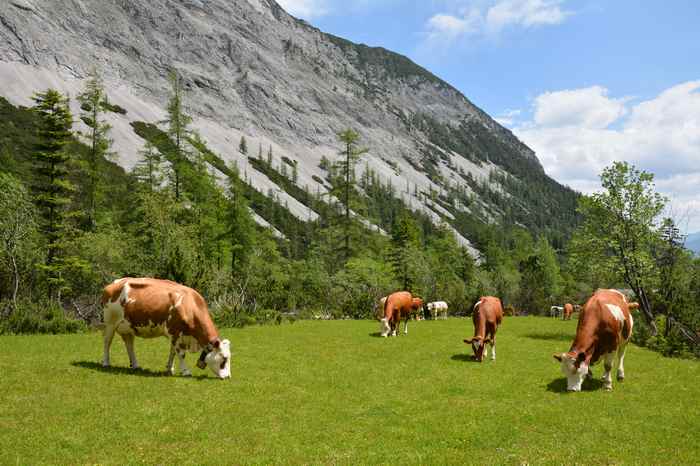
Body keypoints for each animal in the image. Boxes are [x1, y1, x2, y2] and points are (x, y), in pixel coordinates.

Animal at [101, 276, 232, 378]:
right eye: (224, 358)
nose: (228, 377)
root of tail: (116, 282)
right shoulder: (175, 332)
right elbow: (181, 353)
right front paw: (186, 371)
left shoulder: (176, 335)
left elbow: (172, 352)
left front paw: (170, 369)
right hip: (110, 323)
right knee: (107, 342)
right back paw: (106, 363)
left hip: (128, 327)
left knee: (129, 345)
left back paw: (135, 365)